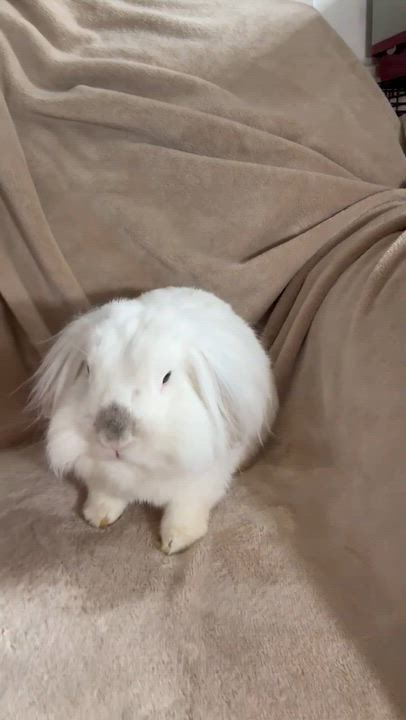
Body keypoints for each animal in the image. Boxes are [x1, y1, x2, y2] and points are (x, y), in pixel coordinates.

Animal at [31, 287, 278, 554]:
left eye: (166, 377)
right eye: (87, 370)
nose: (114, 437)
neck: (139, 471)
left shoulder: (201, 483)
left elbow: (185, 509)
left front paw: (175, 541)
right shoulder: (102, 476)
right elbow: (105, 493)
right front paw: (98, 516)